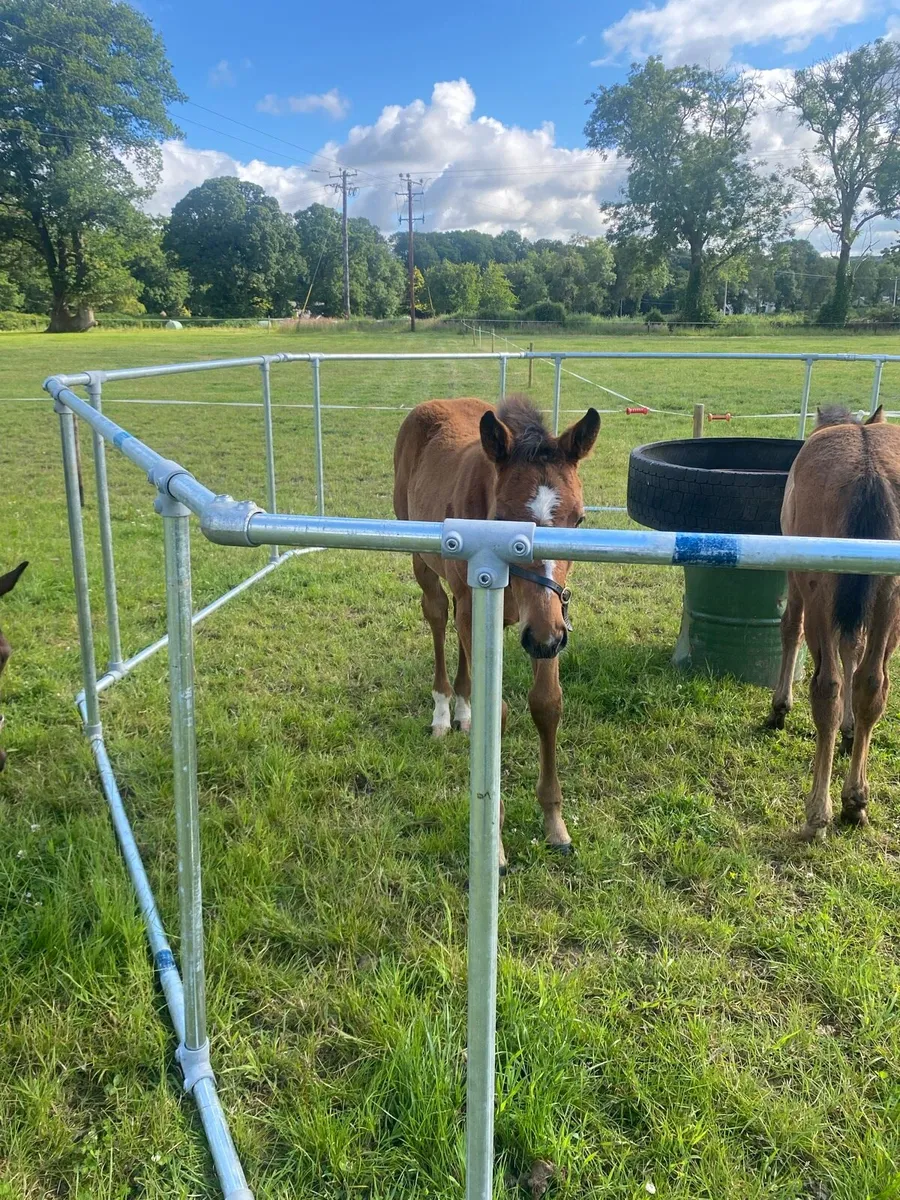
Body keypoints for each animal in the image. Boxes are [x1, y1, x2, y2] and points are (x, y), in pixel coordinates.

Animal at [393, 395, 600, 867]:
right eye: (503, 517)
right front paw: (496, 843)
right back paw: (444, 711)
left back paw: (463, 709)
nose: (545, 639)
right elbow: (498, 712)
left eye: (579, 520)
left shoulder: (546, 620)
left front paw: (554, 823)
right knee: (437, 616)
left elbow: (546, 704)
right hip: (423, 563)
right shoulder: (487, 609)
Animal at [766, 404, 900, 840]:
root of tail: (870, 471)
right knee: (872, 684)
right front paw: (849, 729)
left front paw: (780, 708)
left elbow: (789, 629)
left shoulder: (797, 582)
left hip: (821, 596)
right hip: (890, 601)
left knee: (829, 687)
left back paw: (818, 813)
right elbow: (852, 651)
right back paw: (855, 799)